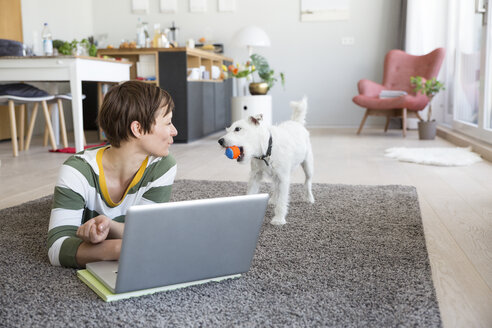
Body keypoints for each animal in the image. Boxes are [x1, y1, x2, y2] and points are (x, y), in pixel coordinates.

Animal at [217, 96, 314, 226]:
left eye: (237, 129)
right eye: (228, 130)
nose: (220, 141)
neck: (266, 150)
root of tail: (296, 123)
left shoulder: (283, 178)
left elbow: (282, 201)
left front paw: (279, 219)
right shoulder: (255, 176)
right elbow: (251, 192)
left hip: (308, 164)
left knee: (307, 181)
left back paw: (309, 198)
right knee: (276, 187)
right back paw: (273, 199)